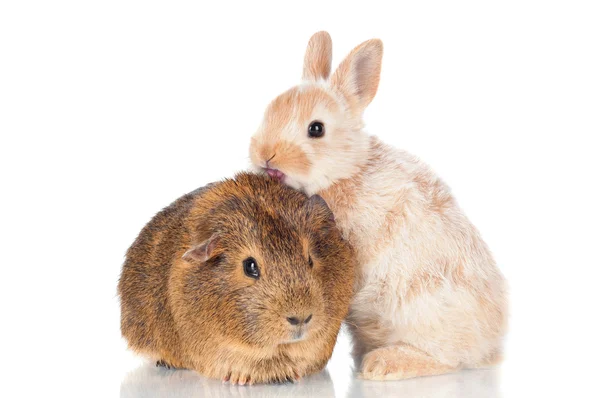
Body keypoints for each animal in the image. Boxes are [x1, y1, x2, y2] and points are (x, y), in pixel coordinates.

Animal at [247, 31, 506, 380]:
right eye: (270, 110)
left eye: (316, 129)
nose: (265, 154)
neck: (344, 173)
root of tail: (491, 345)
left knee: (447, 359)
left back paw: (383, 364)